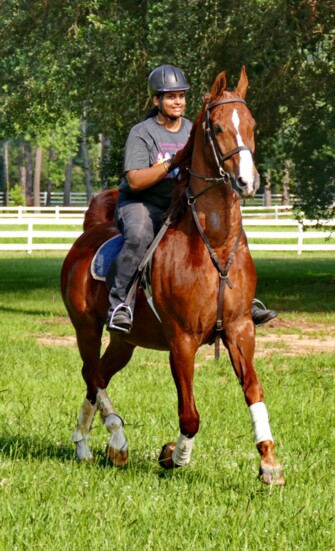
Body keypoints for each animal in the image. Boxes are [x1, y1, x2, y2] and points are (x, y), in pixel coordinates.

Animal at [61, 67, 286, 486]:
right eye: (217, 127)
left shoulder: (240, 329)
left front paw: (269, 463)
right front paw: (173, 455)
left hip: (125, 342)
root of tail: (86, 238)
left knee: (96, 375)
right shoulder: (182, 341)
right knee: (92, 373)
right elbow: (190, 415)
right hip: (86, 327)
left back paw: (85, 444)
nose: (248, 182)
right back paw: (116, 440)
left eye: (252, 125)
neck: (214, 244)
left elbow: (254, 391)